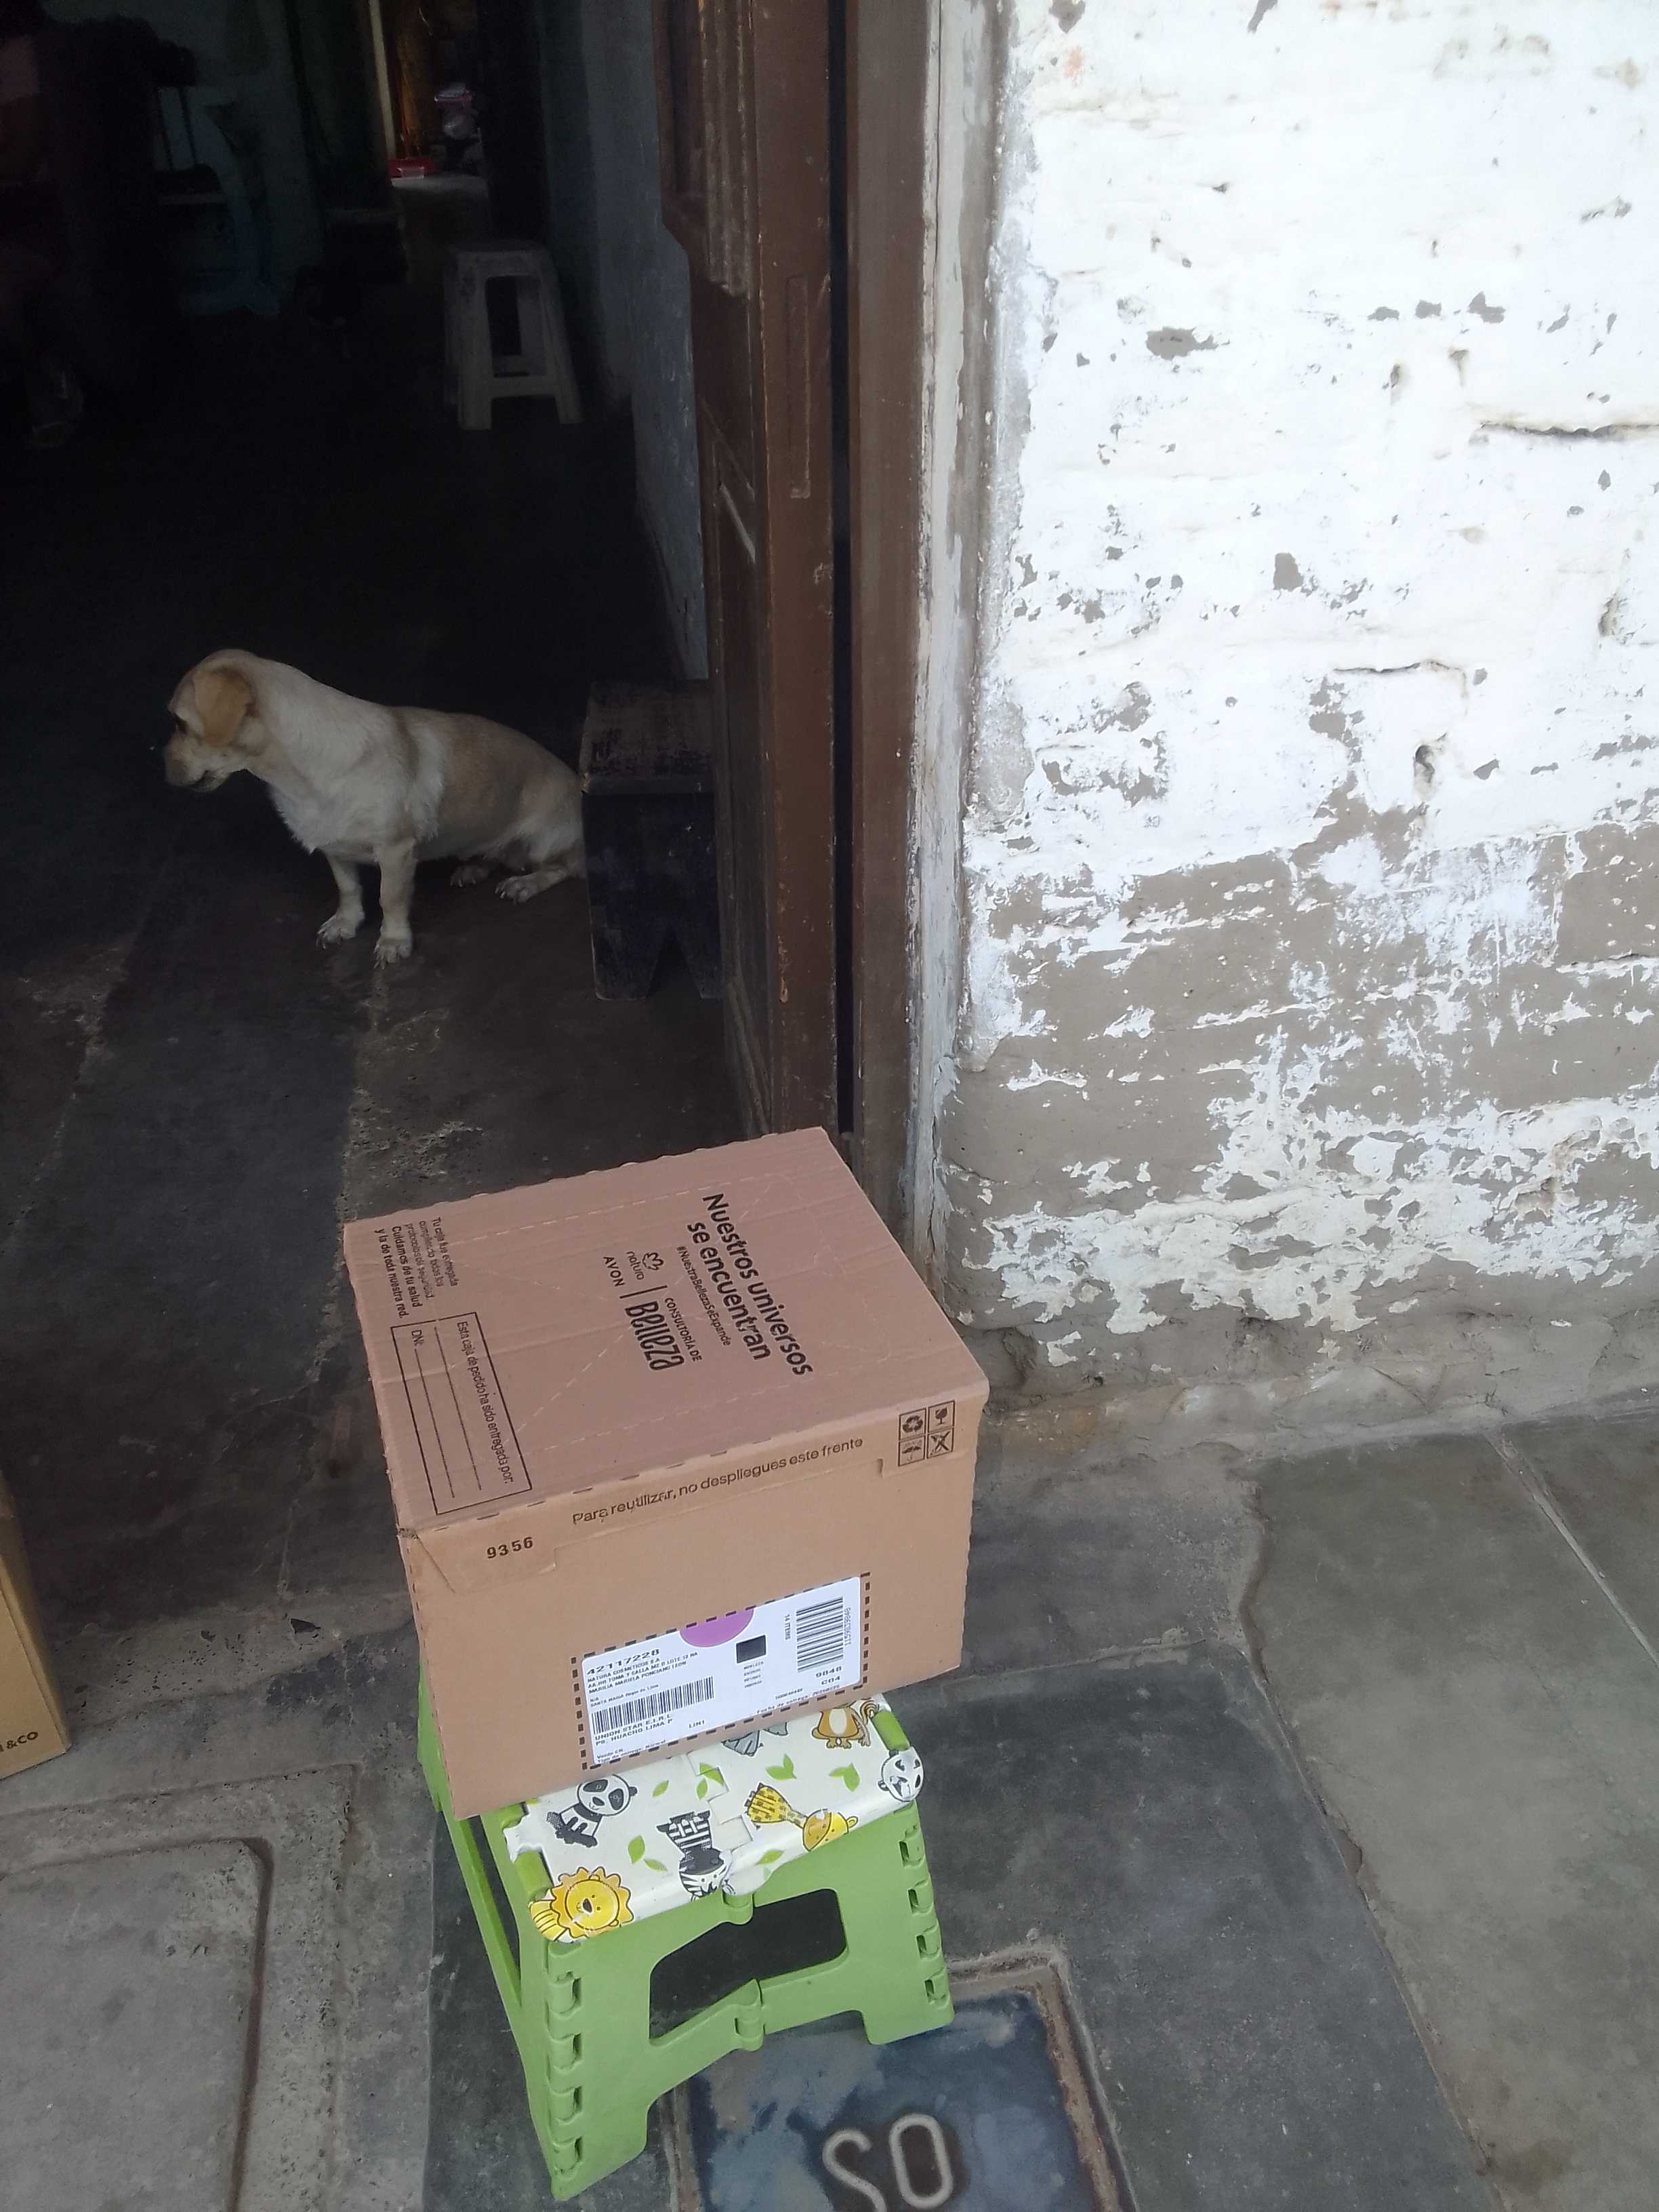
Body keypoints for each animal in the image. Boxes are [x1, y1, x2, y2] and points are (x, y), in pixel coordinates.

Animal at [163, 650, 585, 964]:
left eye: (181, 725)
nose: (160, 765)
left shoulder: (396, 852)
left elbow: (389, 897)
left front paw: (394, 941)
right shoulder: (335, 848)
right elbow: (348, 889)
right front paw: (345, 924)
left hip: (544, 842)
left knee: (563, 868)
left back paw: (525, 883)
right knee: (497, 854)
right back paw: (475, 868)